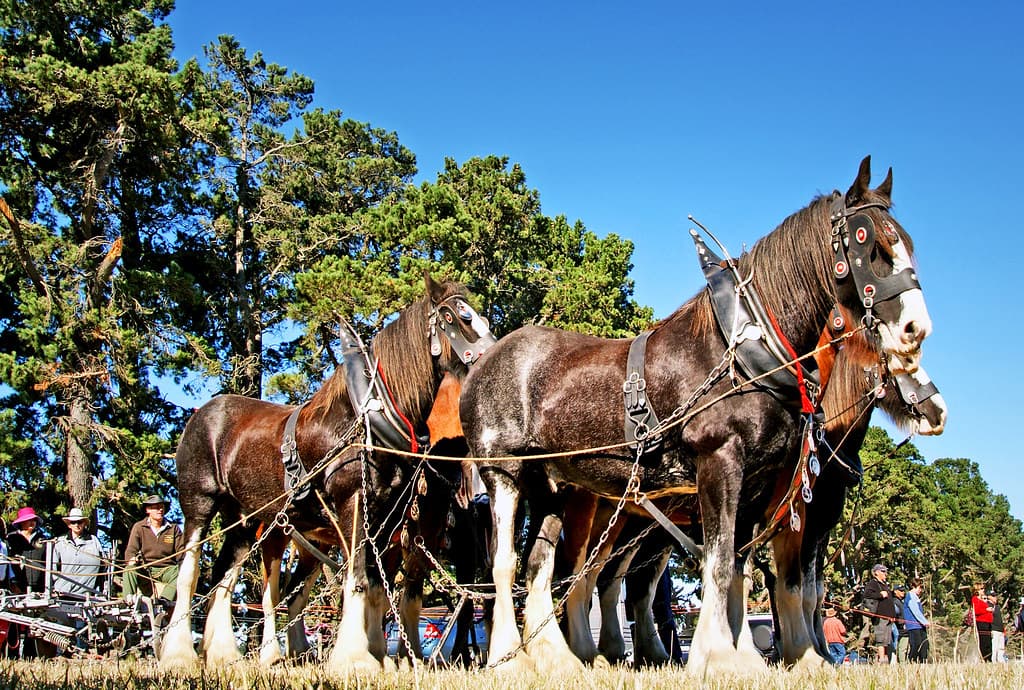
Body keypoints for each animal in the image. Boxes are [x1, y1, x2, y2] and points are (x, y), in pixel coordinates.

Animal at [159, 275, 496, 673]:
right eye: (459, 317)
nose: (496, 356)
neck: (370, 419)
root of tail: (203, 413)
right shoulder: (356, 506)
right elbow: (360, 579)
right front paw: (356, 657)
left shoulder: (387, 518)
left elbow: (378, 587)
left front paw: (382, 656)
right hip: (205, 504)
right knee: (198, 574)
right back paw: (183, 654)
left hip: (245, 518)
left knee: (226, 578)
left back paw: (226, 654)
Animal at [458, 157, 933, 676]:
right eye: (869, 241)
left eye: (908, 242)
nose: (916, 328)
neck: (742, 349)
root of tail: (485, 361)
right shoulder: (720, 462)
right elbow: (721, 563)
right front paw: (718, 655)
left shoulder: (757, 485)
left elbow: (738, 569)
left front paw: (744, 656)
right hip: (505, 473)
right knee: (509, 564)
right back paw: (507, 656)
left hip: (556, 488)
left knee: (542, 565)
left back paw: (557, 658)